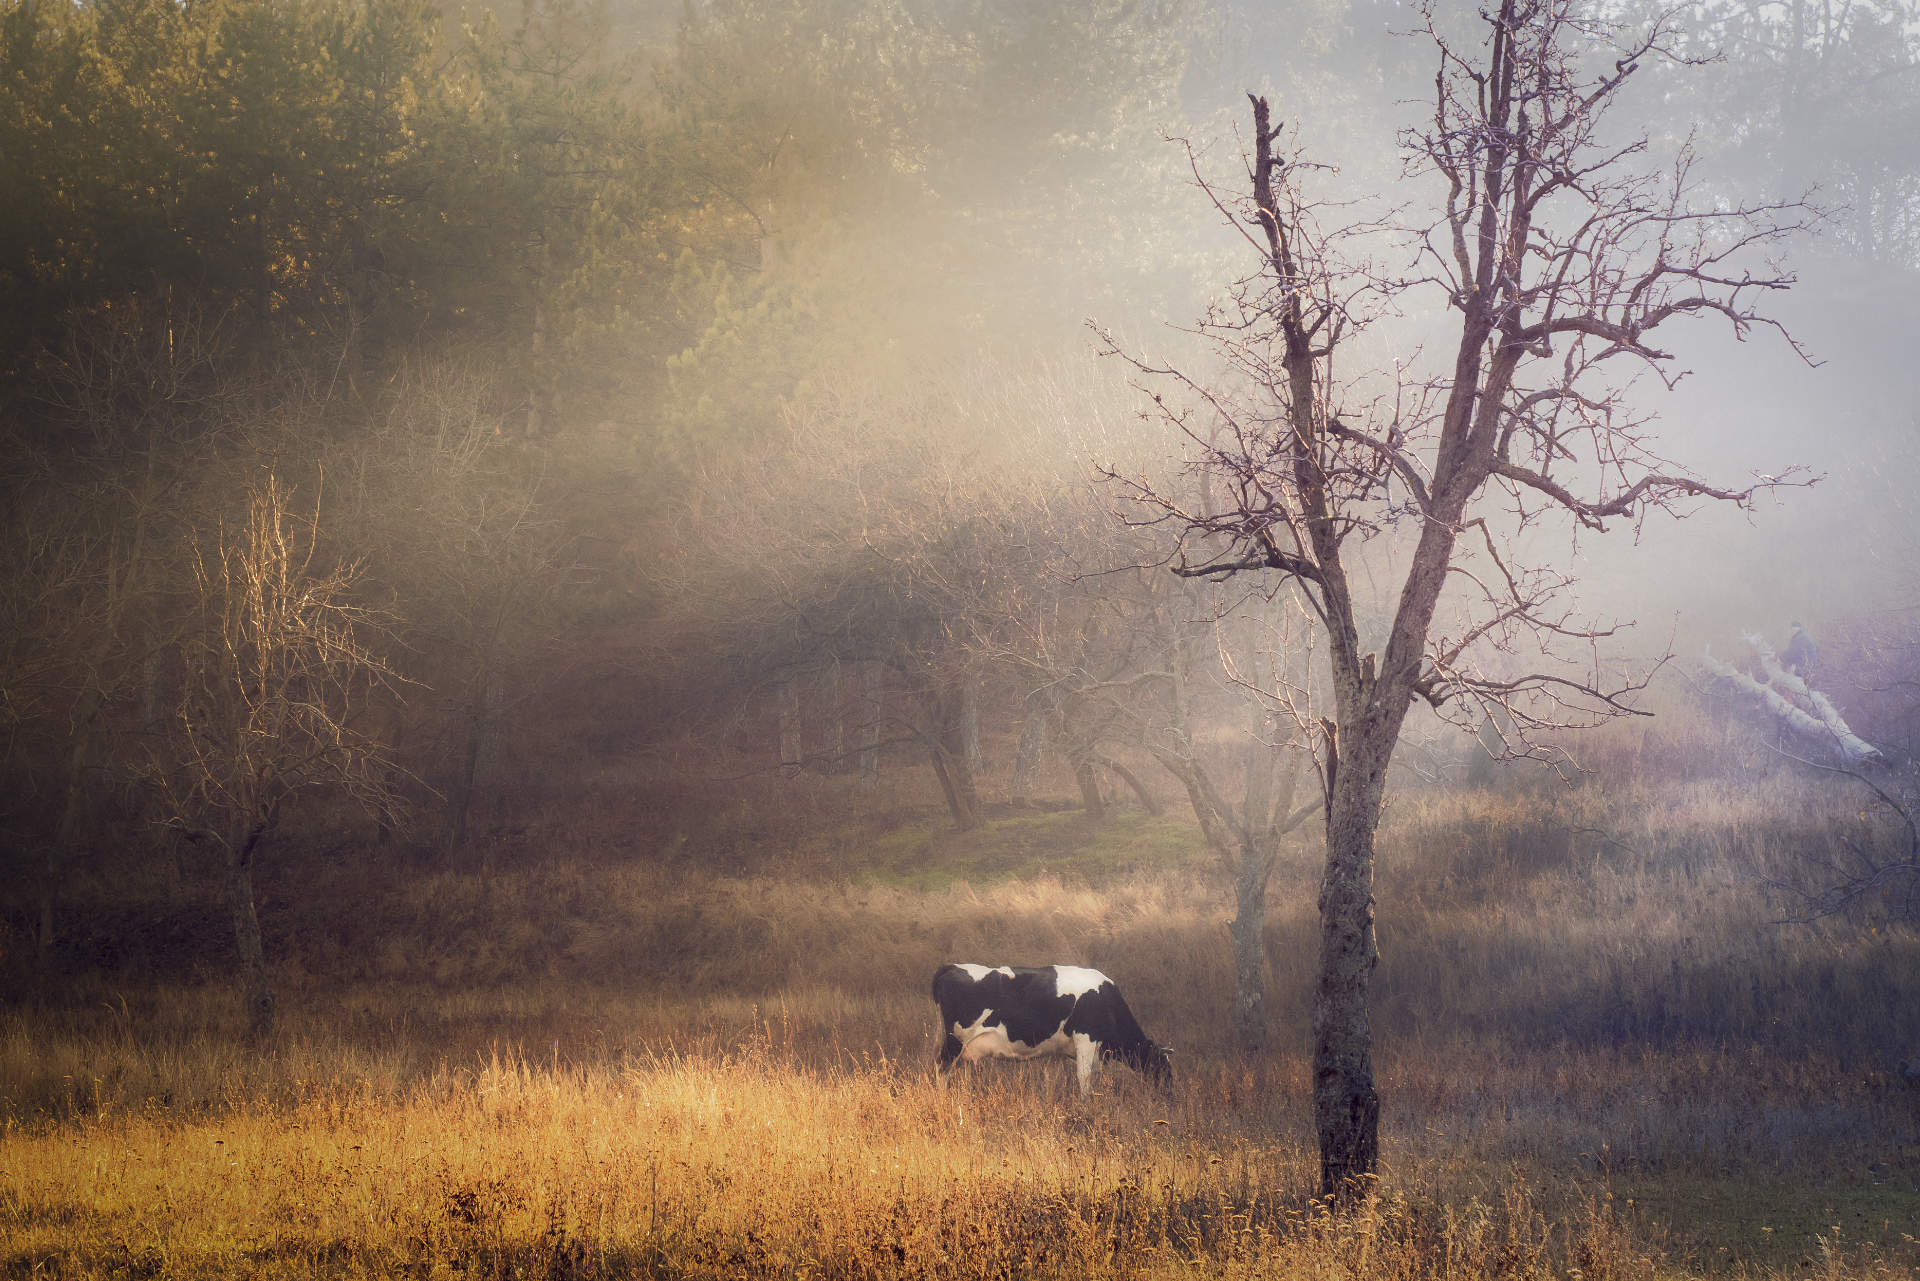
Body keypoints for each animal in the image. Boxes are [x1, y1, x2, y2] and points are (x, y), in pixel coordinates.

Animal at [929, 967, 1167, 1098]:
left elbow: (1052, 1078)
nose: (1169, 1097)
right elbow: (1084, 1075)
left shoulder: (1059, 1051)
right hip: (954, 1041)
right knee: (941, 1069)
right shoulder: (1085, 1038)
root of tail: (951, 967)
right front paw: (1085, 1106)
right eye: (1164, 1070)